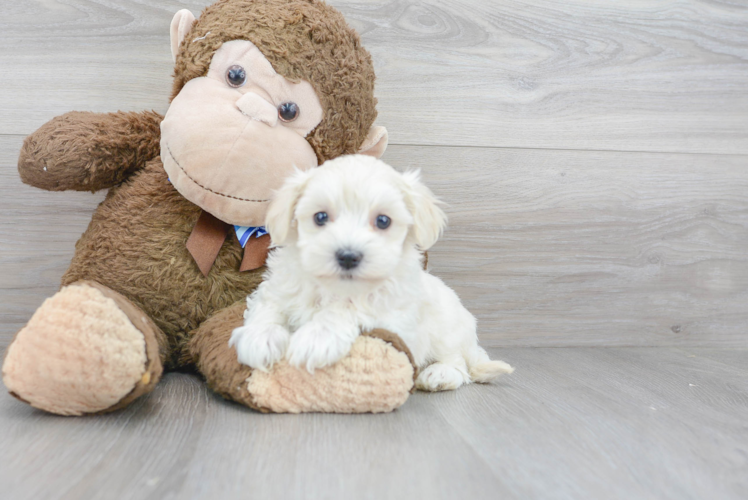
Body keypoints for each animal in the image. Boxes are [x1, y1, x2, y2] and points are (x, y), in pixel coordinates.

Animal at [229, 155, 516, 390]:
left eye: (383, 221)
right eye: (320, 217)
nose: (348, 256)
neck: (335, 287)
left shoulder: (394, 317)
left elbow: (350, 308)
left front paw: (317, 336)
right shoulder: (276, 289)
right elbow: (269, 307)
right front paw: (259, 337)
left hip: (448, 329)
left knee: (459, 364)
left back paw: (440, 374)